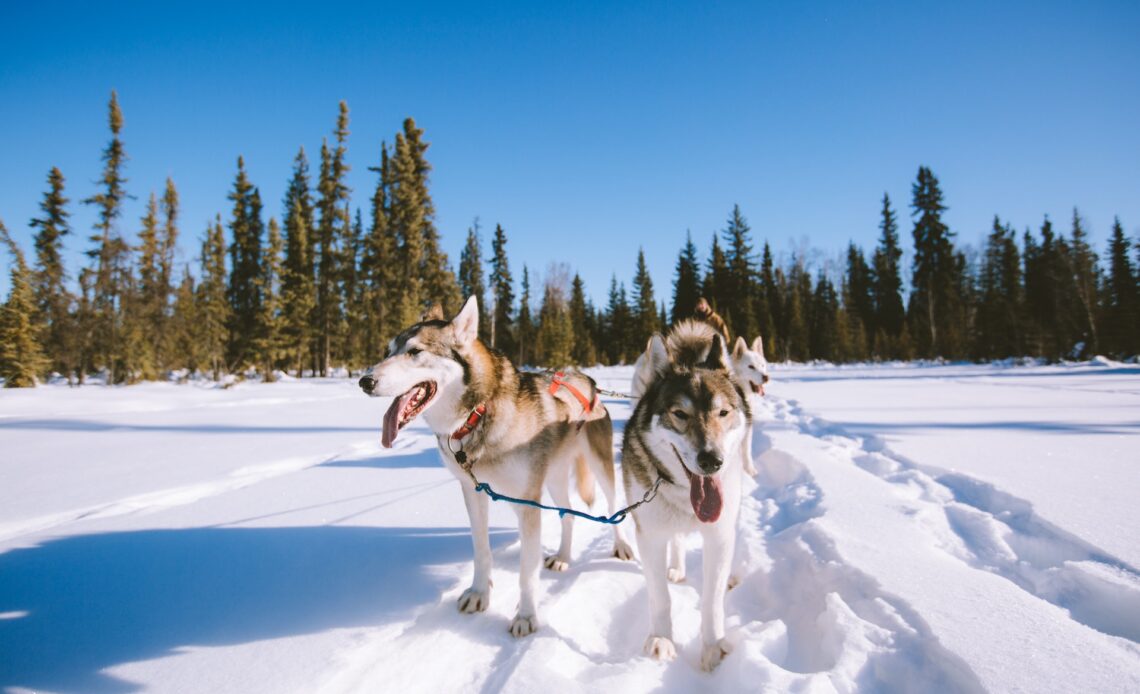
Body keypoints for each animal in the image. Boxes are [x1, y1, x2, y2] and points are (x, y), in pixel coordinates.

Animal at [357, 294, 633, 638]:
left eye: (415, 351)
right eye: (387, 351)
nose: (364, 380)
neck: (477, 412)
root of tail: (588, 380)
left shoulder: (527, 503)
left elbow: (526, 572)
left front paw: (526, 615)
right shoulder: (473, 492)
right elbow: (481, 548)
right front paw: (479, 593)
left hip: (598, 466)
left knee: (612, 507)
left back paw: (621, 546)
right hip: (552, 479)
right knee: (568, 514)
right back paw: (563, 556)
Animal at [620, 330, 752, 670]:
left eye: (723, 412)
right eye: (680, 414)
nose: (712, 461)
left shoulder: (719, 535)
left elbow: (711, 599)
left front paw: (714, 645)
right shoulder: (650, 536)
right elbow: (660, 596)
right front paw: (662, 639)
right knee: (677, 541)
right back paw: (677, 568)